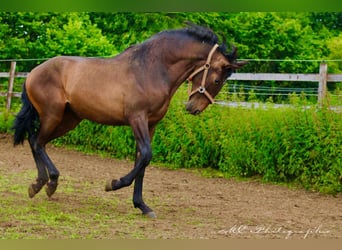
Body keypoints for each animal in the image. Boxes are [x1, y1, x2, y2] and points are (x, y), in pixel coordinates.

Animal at [11, 22, 246, 218]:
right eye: (217, 80)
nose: (193, 108)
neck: (152, 69)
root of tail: (32, 72)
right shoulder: (137, 119)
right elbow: (146, 155)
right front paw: (113, 184)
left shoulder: (151, 125)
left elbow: (142, 161)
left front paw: (142, 206)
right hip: (53, 115)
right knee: (37, 142)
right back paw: (48, 183)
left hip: (69, 120)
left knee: (36, 141)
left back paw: (40, 184)